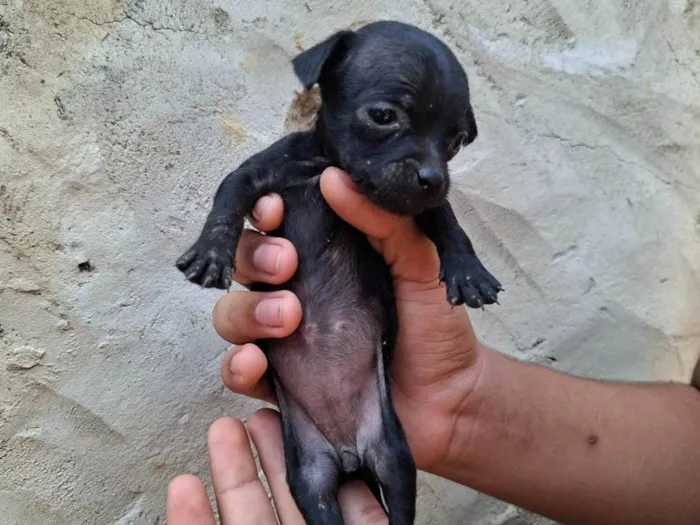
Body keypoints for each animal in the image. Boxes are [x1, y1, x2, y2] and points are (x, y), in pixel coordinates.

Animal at [178, 21, 500, 524]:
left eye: (455, 141)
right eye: (384, 116)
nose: (434, 176)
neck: (329, 164)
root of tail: (349, 456)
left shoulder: (421, 205)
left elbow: (448, 222)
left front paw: (470, 272)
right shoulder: (258, 174)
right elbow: (228, 196)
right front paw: (210, 252)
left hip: (393, 458)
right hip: (309, 478)